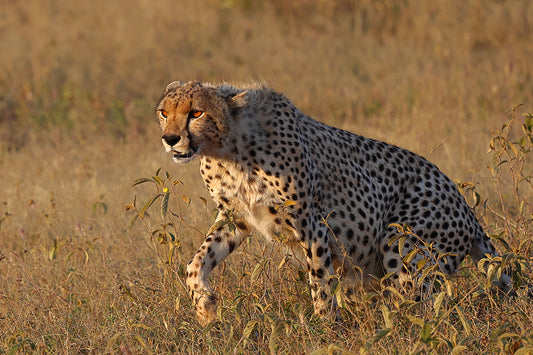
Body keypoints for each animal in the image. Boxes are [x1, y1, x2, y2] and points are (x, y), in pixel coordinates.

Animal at [157, 80, 512, 326]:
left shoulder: (311, 224)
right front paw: (205, 309)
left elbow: (320, 281)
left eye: (196, 113)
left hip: (401, 240)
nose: (170, 139)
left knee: (419, 306)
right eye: (164, 112)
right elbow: (196, 263)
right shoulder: (235, 217)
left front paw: (325, 328)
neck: (226, 148)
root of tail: (466, 206)